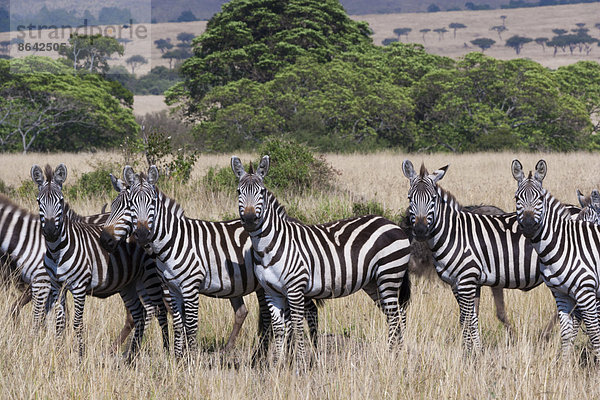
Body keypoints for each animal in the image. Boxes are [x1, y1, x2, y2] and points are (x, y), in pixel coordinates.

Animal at [31, 164, 170, 358]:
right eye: (39, 201)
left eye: (60, 201)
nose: (51, 231)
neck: (57, 250)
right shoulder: (57, 286)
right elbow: (60, 323)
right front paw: (58, 353)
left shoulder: (79, 286)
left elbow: (77, 323)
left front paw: (80, 355)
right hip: (130, 282)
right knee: (141, 313)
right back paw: (131, 355)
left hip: (150, 276)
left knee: (160, 312)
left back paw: (165, 350)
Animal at [99, 166, 300, 360]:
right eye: (116, 206)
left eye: (127, 207)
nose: (105, 240)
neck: (174, 239)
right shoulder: (171, 287)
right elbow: (178, 322)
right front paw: (179, 356)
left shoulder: (180, 286)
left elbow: (183, 323)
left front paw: (187, 356)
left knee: (271, 317)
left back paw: (264, 356)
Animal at [231, 155, 412, 368]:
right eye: (238, 192)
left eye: (261, 192)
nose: (250, 219)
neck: (270, 246)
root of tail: (392, 224)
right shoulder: (271, 292)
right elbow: (279, 329)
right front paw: (276, 366)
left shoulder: (295, 289)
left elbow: (298, 327)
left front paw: (299, 365)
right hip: (373, 282)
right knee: (398, 313)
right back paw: (399, 353)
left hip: (389, 275)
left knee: (394, 316)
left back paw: (389, 355)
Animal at [404, 159, 564, 354]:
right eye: (410, 199)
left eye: (433, 199)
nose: (420, 231)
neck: (456, 233)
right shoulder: (464, 283)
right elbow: (469, 317)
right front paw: (471, 350)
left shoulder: (470, 279)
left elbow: (472, 317)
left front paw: (474, 352)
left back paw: (544, 336)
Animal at [510, 159, 600, 360]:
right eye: (517, 198)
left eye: (540, 199)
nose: (528, 226)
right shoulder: (561, 294)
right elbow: (566, 333)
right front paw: (565, 366)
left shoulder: (587, 292)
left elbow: (594, 333)